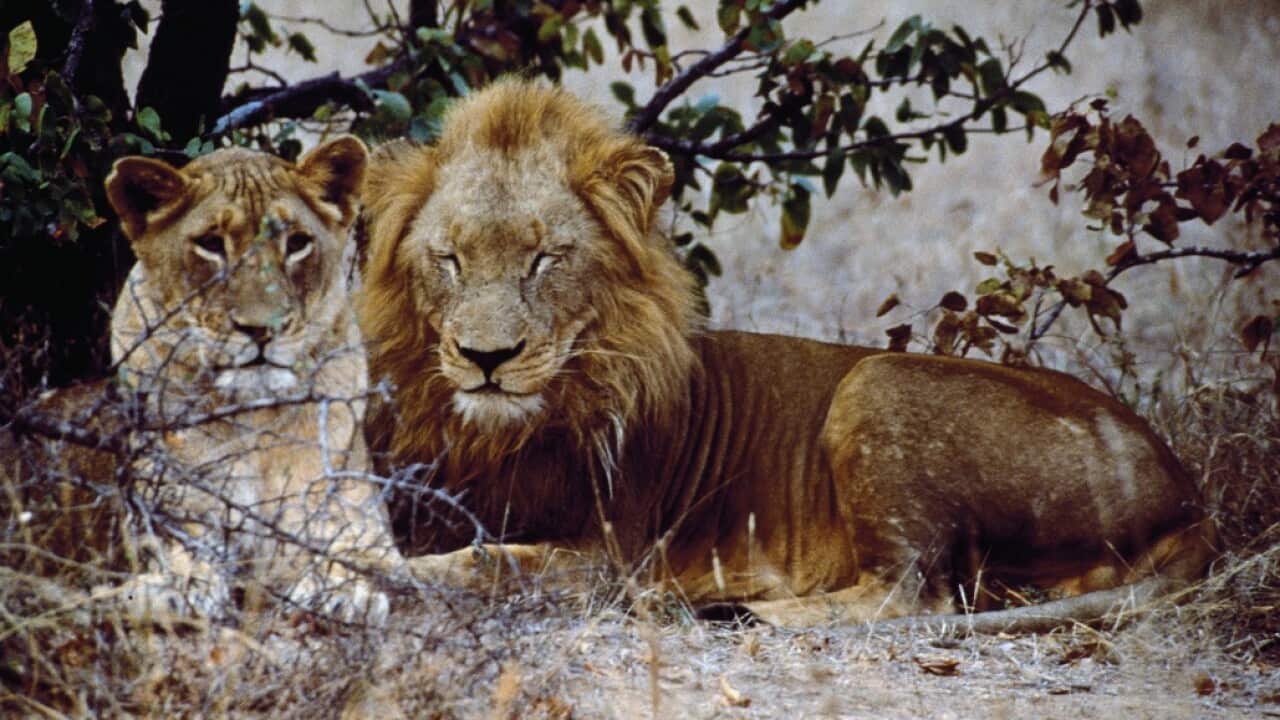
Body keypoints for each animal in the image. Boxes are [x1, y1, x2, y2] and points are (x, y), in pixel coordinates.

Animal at [102, 137, 401, 623]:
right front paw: (178, 587)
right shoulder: (163, 514)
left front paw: (343, 591)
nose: (263, 329)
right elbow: (176, 548)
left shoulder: (366, 527)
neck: (256, 420)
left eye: (297, 243)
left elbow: (352, 549)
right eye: (210, 245)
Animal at [360, 79, 1217, 630]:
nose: (486, 357)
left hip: (878, 381)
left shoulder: (607, 555)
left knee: (914, 593)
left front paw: (372, 575)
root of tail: (1187, 492)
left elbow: (484, 560)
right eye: (449, 260)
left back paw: (735, 611)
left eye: (545, 260)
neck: (493, 431)